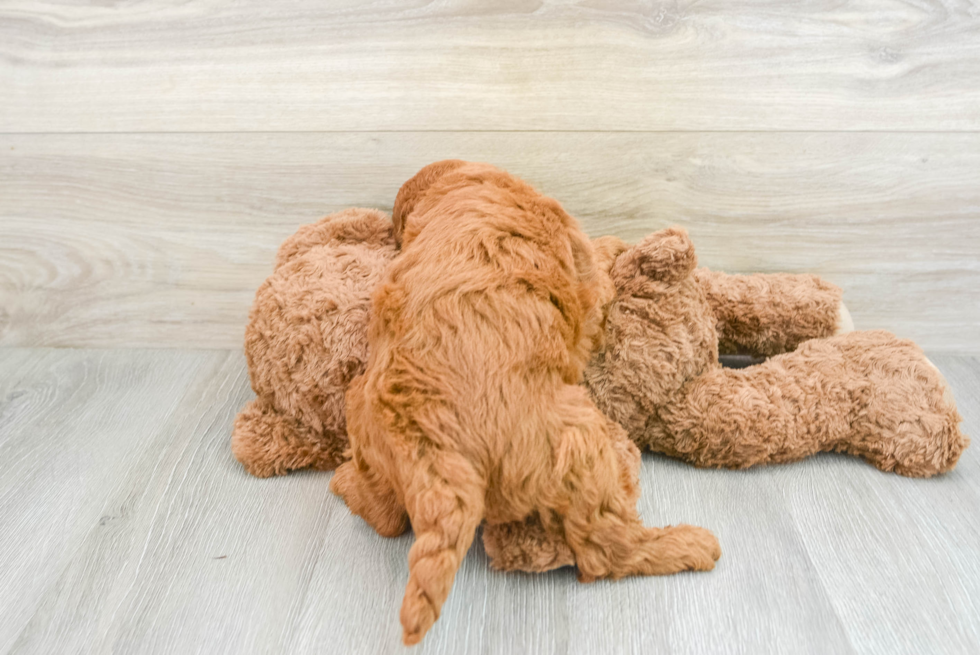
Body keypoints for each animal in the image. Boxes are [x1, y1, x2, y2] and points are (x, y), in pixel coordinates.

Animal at [330, 160, 720, 644]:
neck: (467, 183)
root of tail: (435, 444)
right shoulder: (584, 273)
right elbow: (598, 270)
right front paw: (614, 245)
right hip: (579, 445)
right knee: (607, 550)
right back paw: (688, 544)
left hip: (364, 418)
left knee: (385, 517)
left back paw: (345, 483)